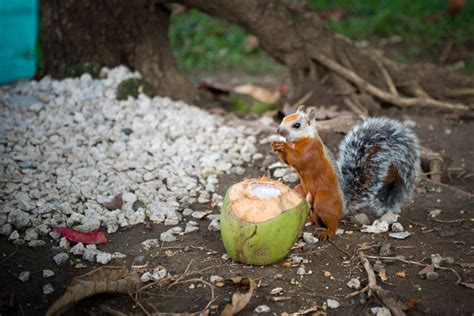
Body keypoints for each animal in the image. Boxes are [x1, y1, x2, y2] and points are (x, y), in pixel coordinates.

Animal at [272, 106, 420, 239]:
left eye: (296, 125)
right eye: (284, 118)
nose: (279, 130)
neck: (302, 139)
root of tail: (344, 207)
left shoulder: (311, 151)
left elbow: (298, 160)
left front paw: (283, 145)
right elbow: (287, 161)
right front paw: (276, 145)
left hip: (324, 202)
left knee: (332, 222)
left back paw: (327, 232)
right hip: (302, 190)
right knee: (313, 214)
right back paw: (308, 220)